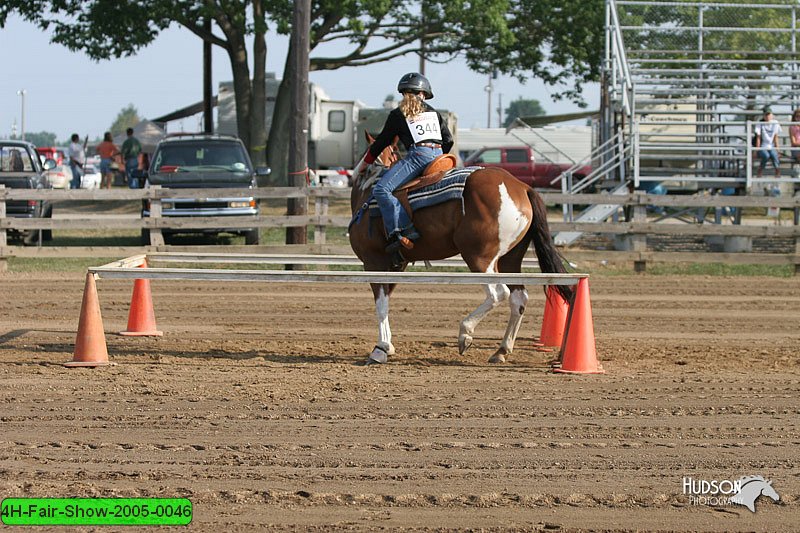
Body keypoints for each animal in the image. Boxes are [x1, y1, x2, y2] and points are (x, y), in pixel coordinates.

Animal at [350, 135, 576, 364]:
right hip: (509, 260)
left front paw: (380, 349)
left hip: (479, 258)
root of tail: (521, 187)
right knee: (518, 298)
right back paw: (501, 350)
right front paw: (387, 346)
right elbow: (386, 301)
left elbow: (381, 305)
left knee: (498, 294)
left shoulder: (374, 261)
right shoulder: (397, 265)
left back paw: (465, 333)